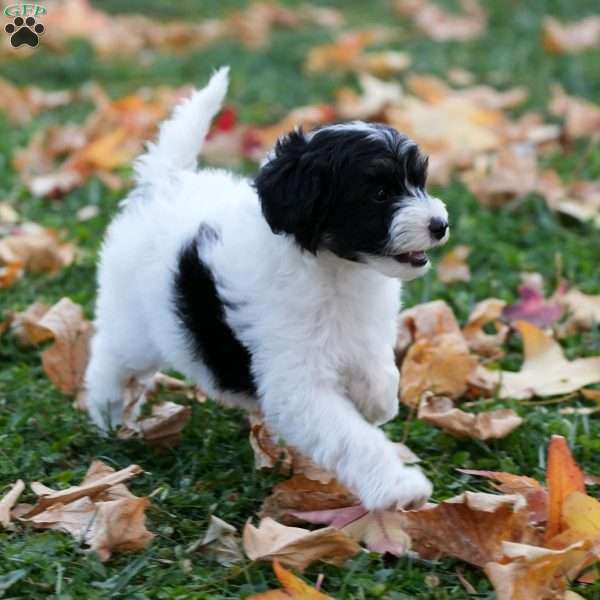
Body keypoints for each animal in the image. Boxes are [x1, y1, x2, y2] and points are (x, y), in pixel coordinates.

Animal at [86, 70, 448, 510]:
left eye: (419, 182)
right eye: (379, 193)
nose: (440, 224)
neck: (336, 268)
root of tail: (162, 183)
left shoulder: (364, 331)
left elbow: (379, 369)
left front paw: (377, 401)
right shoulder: (298, 384)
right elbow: (353, 437)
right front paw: (398, 487)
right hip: (133, 322)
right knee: (111, 358)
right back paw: (109, 414)